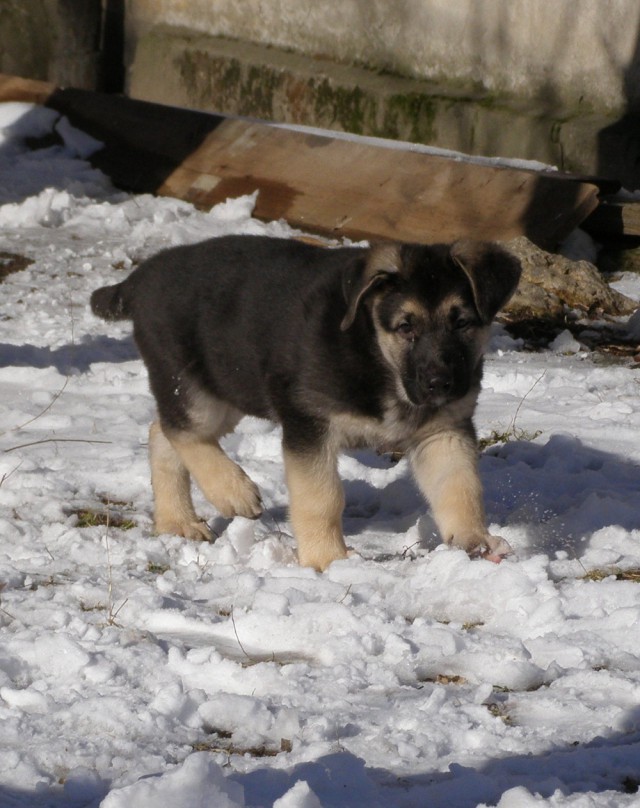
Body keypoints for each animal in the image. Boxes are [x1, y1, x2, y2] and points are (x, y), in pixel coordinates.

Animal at [90, 237, 520, 572]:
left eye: (462, 323)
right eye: (405, 326)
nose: (440, 384)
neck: (377, 358)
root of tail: (140, 278)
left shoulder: (444, 432)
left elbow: (459, 487)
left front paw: (474, 541)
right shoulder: (309, 425)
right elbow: (321, 498)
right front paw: (328, 560)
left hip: (225, 386)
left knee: (161, 431)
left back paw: (176, 521)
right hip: (196, 387)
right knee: (180, 431)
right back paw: (231, 491)